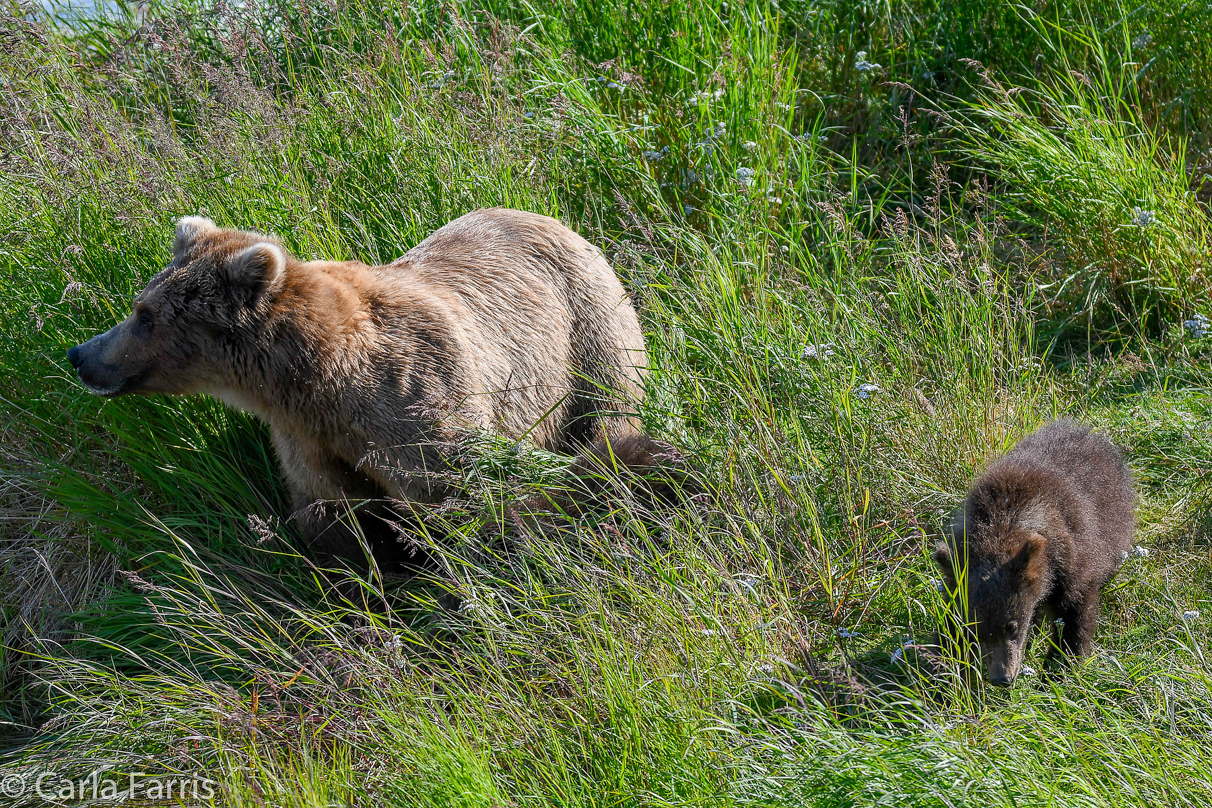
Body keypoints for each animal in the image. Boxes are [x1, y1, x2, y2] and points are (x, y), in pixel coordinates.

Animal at [68, 208, 673, 569]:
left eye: (144, 316)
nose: (80, 356)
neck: (322, 379)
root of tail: (556, 220)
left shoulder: (419, 406)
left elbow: (468, 504)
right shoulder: (307, 439)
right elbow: (338, 522)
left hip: (586, 334)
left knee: (608, 420)